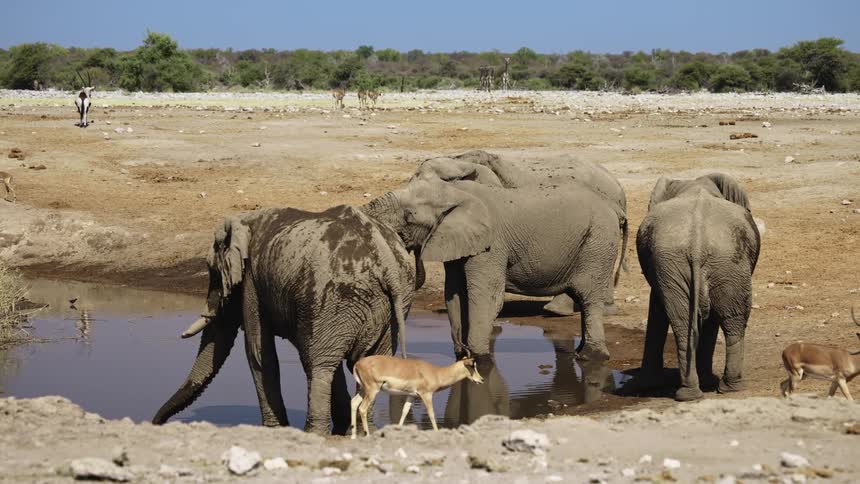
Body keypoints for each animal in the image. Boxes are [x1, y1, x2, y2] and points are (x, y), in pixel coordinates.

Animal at [152, 205, 415, 434]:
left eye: (214, 272)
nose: (156, 422)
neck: (245, 221)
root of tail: (387, 262)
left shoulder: (252, 281)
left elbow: (259, 353)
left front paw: (275, 429)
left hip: (336, 296)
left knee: (318, 365)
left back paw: (313, 432)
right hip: (388, 304)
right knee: (350, 362)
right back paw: (360, 430)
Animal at [363, 177, 622, 361]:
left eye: (409, 215)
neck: (456, 192)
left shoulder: (491, 246)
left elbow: (486, 298)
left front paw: (478, 357)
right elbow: (454, 295)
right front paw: (462, 356)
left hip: (598, 243)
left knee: (588, 298)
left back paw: (590, 357)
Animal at [636, 173, 761, 401]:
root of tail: (696, 246)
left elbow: (657, 310)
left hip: (711, 263)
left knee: (690, 321)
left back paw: (695, 392)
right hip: (724, 264)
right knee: (732, 319)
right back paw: (726, 387)